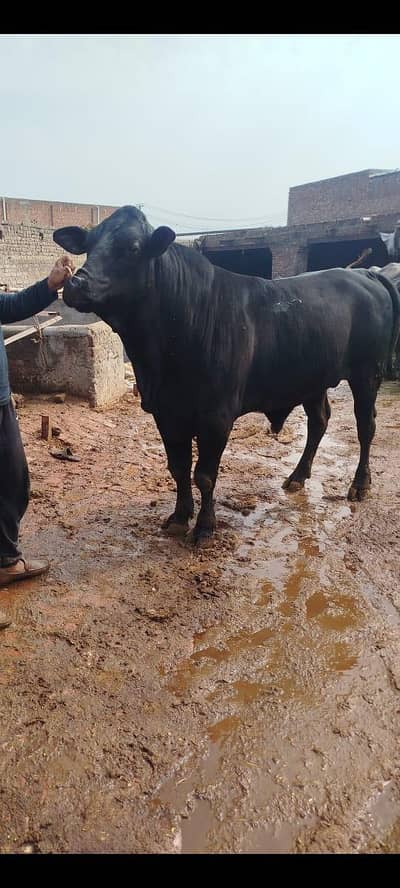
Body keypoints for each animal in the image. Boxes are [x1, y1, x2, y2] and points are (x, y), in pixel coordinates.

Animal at [53, 206, 400, 544]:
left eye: (133, 248)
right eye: (89, 246)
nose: (75, 283)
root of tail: (365, 273)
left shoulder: (216, 417)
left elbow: (205, 476)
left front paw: (205, 527)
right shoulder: (166, 413)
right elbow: (178, 468)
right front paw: (179, 517)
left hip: (367, 374)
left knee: (365, 427)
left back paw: (360, 485)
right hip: (312, 379)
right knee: (319, 422)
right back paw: (297, 477)